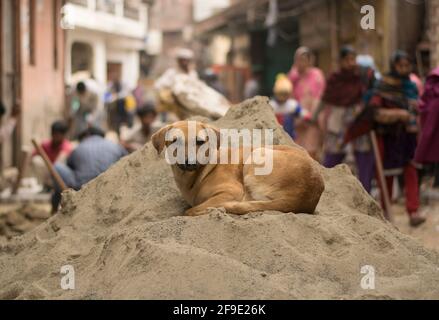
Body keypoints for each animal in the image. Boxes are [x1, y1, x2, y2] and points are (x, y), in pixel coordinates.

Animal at [153, 121, 324, 216]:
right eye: (175, 141)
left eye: (200, 142)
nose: (190, 162)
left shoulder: (231, 191)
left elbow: (192, 209)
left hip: (256, 156)